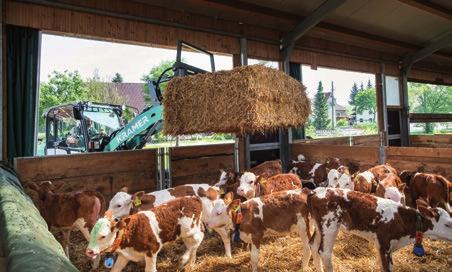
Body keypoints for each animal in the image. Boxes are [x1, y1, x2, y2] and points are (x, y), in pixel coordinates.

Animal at [308, 187, 452, 272]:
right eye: (448, 224)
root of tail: (315, 191)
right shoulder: (384, 245)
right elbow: (387, 268)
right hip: (329, 226)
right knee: (324, 253)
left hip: (319, 226)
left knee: (313, 245)